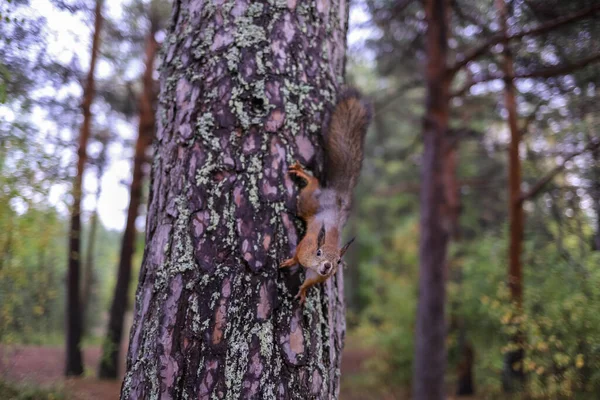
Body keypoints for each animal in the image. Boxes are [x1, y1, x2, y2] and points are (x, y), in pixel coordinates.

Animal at [280, 89, 370, 304]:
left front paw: (303, 291)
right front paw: (289, 261)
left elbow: (309, 282)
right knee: (312, 184)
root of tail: (335, 202)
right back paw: (303, 174)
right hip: (308, 202)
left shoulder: (318, 276)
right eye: (318, 252)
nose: (327, 266)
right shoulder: (305, 249)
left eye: (338, 260)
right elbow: (297, 256)